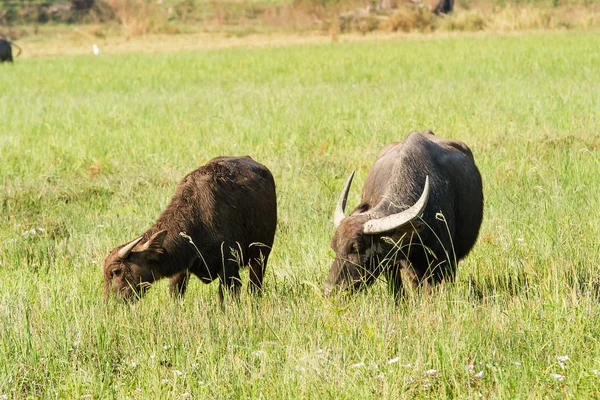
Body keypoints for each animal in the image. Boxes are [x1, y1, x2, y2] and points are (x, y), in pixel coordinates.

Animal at [103, 156, 278, 304]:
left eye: (116, 271)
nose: (109, 302)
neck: (197, 219)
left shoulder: (229, 267)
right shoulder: (181, 270)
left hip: (260, 256)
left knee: (255, 287)